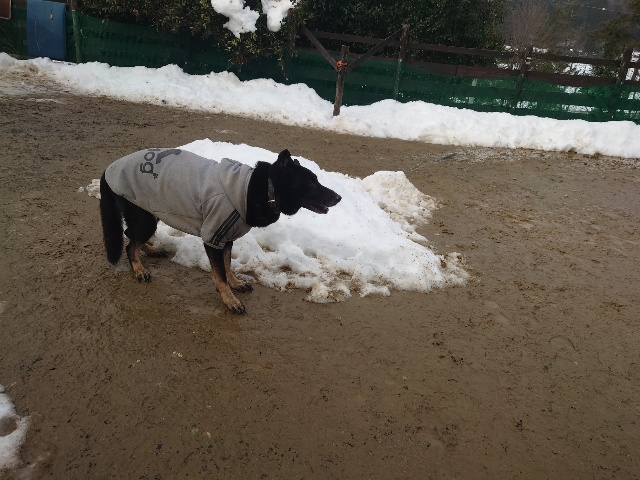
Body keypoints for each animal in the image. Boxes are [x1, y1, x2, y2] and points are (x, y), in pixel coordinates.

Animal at [99, 148, 341, 314]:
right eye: (310, 183)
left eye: (316, 180)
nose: (339, 197)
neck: (262, 190)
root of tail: (109, 169)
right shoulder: (213, 238)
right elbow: (220, 274)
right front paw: (230, 299)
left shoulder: (227, 238)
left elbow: (227, 265)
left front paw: (236, 283)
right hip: (145, 218)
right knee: (130, 244)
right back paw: (139, 269)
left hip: (149, 214)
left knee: (130, 236)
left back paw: (149, 251)